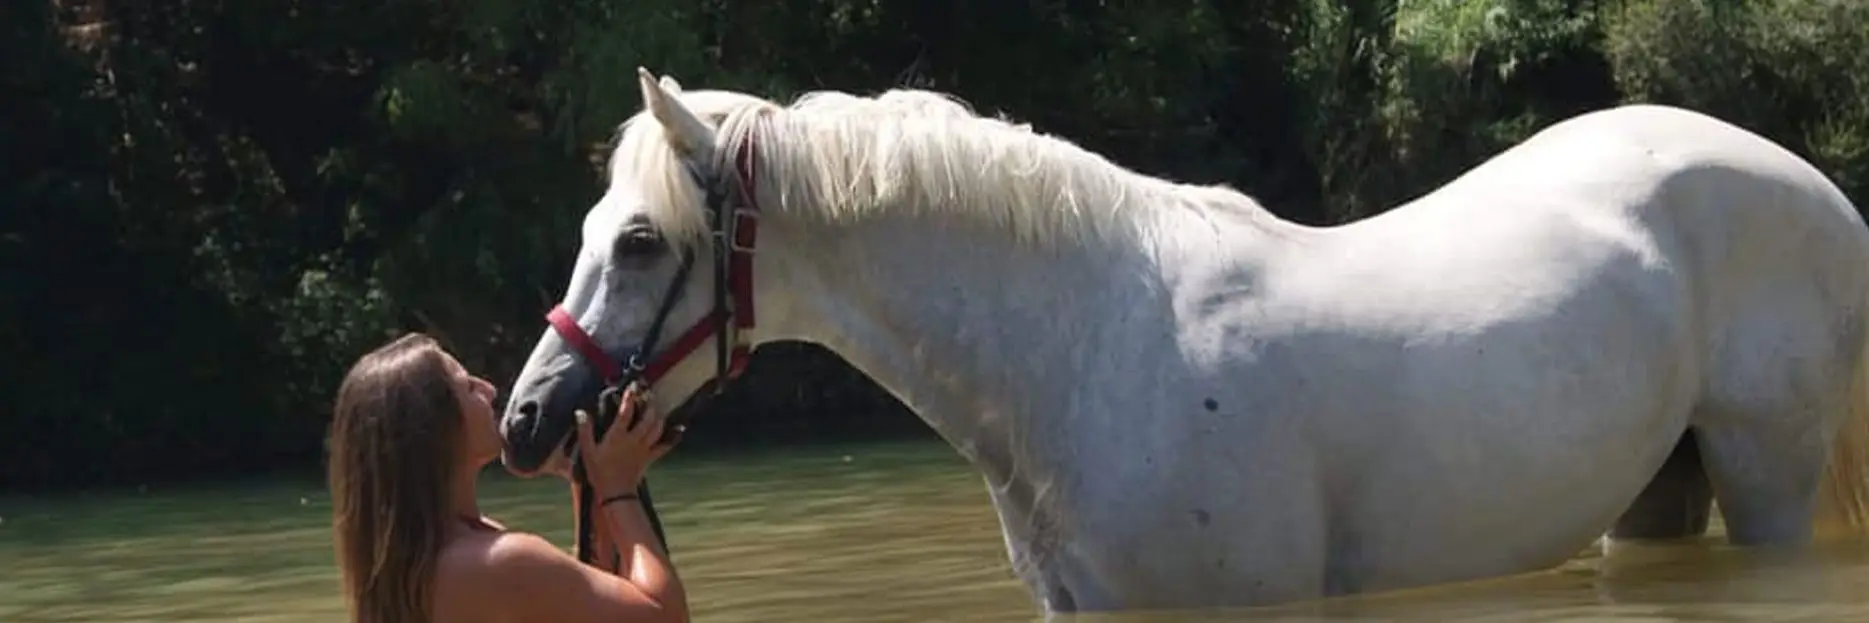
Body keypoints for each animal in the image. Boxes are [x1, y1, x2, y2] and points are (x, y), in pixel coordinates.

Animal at [498, 67, 1869, 614]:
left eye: (638, 241)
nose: (526, 418)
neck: (1086, 348)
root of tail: (1812, 186)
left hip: (1768, 473)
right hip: (1658, 486)